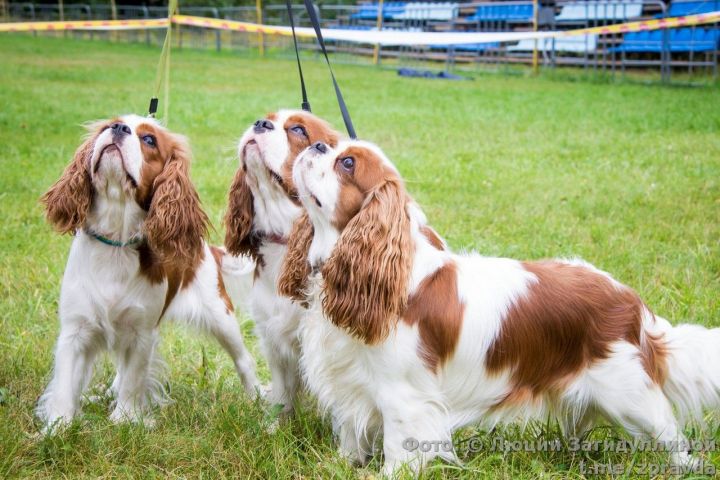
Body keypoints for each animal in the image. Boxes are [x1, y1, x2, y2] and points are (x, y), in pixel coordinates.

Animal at [36, 116, 260, 432]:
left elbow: (133, 381)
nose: (118, 129)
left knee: (244, 360)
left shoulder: (141, 333)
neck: (116, 244)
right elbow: (66, 385)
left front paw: (125, 420)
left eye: (149, 140)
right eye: (110, 124)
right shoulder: (75, 330)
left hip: (221, 318)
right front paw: (58, 429)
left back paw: (258, 398)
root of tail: (206, 248)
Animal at [224, 110, 338, 414]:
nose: (260, 124)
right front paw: (275, 422)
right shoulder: (273, 337)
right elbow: (283, 395)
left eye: (298, 129)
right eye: (266, 118)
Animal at [280, 140, 720, 476]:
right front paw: (342, 464)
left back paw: (688, 467)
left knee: (670, 434)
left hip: (632, 396)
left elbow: (399, 447)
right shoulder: (352, 383)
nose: (316, 144)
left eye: (347, 163)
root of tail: (633, 303)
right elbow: (351, 432)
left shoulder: (404, 395)